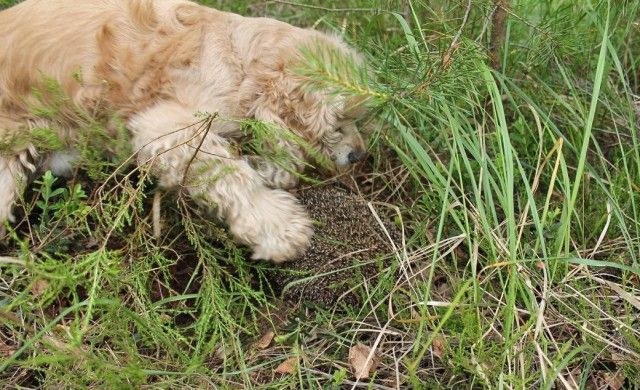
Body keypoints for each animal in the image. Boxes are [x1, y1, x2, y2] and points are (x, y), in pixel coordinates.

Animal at [0, 0, 370, 262]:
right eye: (338, 124)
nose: (360, 155)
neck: (239, 57)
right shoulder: (168, 127)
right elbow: (231, 174)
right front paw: (281, 228)